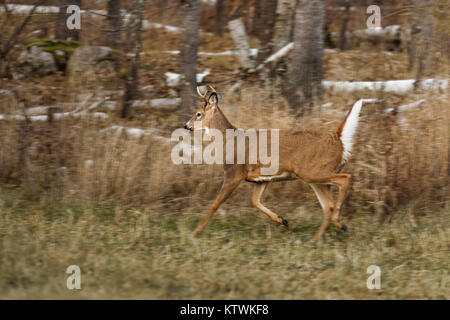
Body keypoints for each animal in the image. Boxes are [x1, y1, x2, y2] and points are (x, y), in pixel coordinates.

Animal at [183, 85, 362, 240]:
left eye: (198, 114)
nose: (186, 126)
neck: (229, 140)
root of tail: (338, 139)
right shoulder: (261, 179)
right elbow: (254, 200)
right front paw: (283, 220)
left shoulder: (234, 173)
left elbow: (215, 203)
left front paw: (194, 233)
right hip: (315, 177)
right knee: (328, 205)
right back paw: (322, 235)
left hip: (313, 171)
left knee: (345, 179)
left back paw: (336, 222)